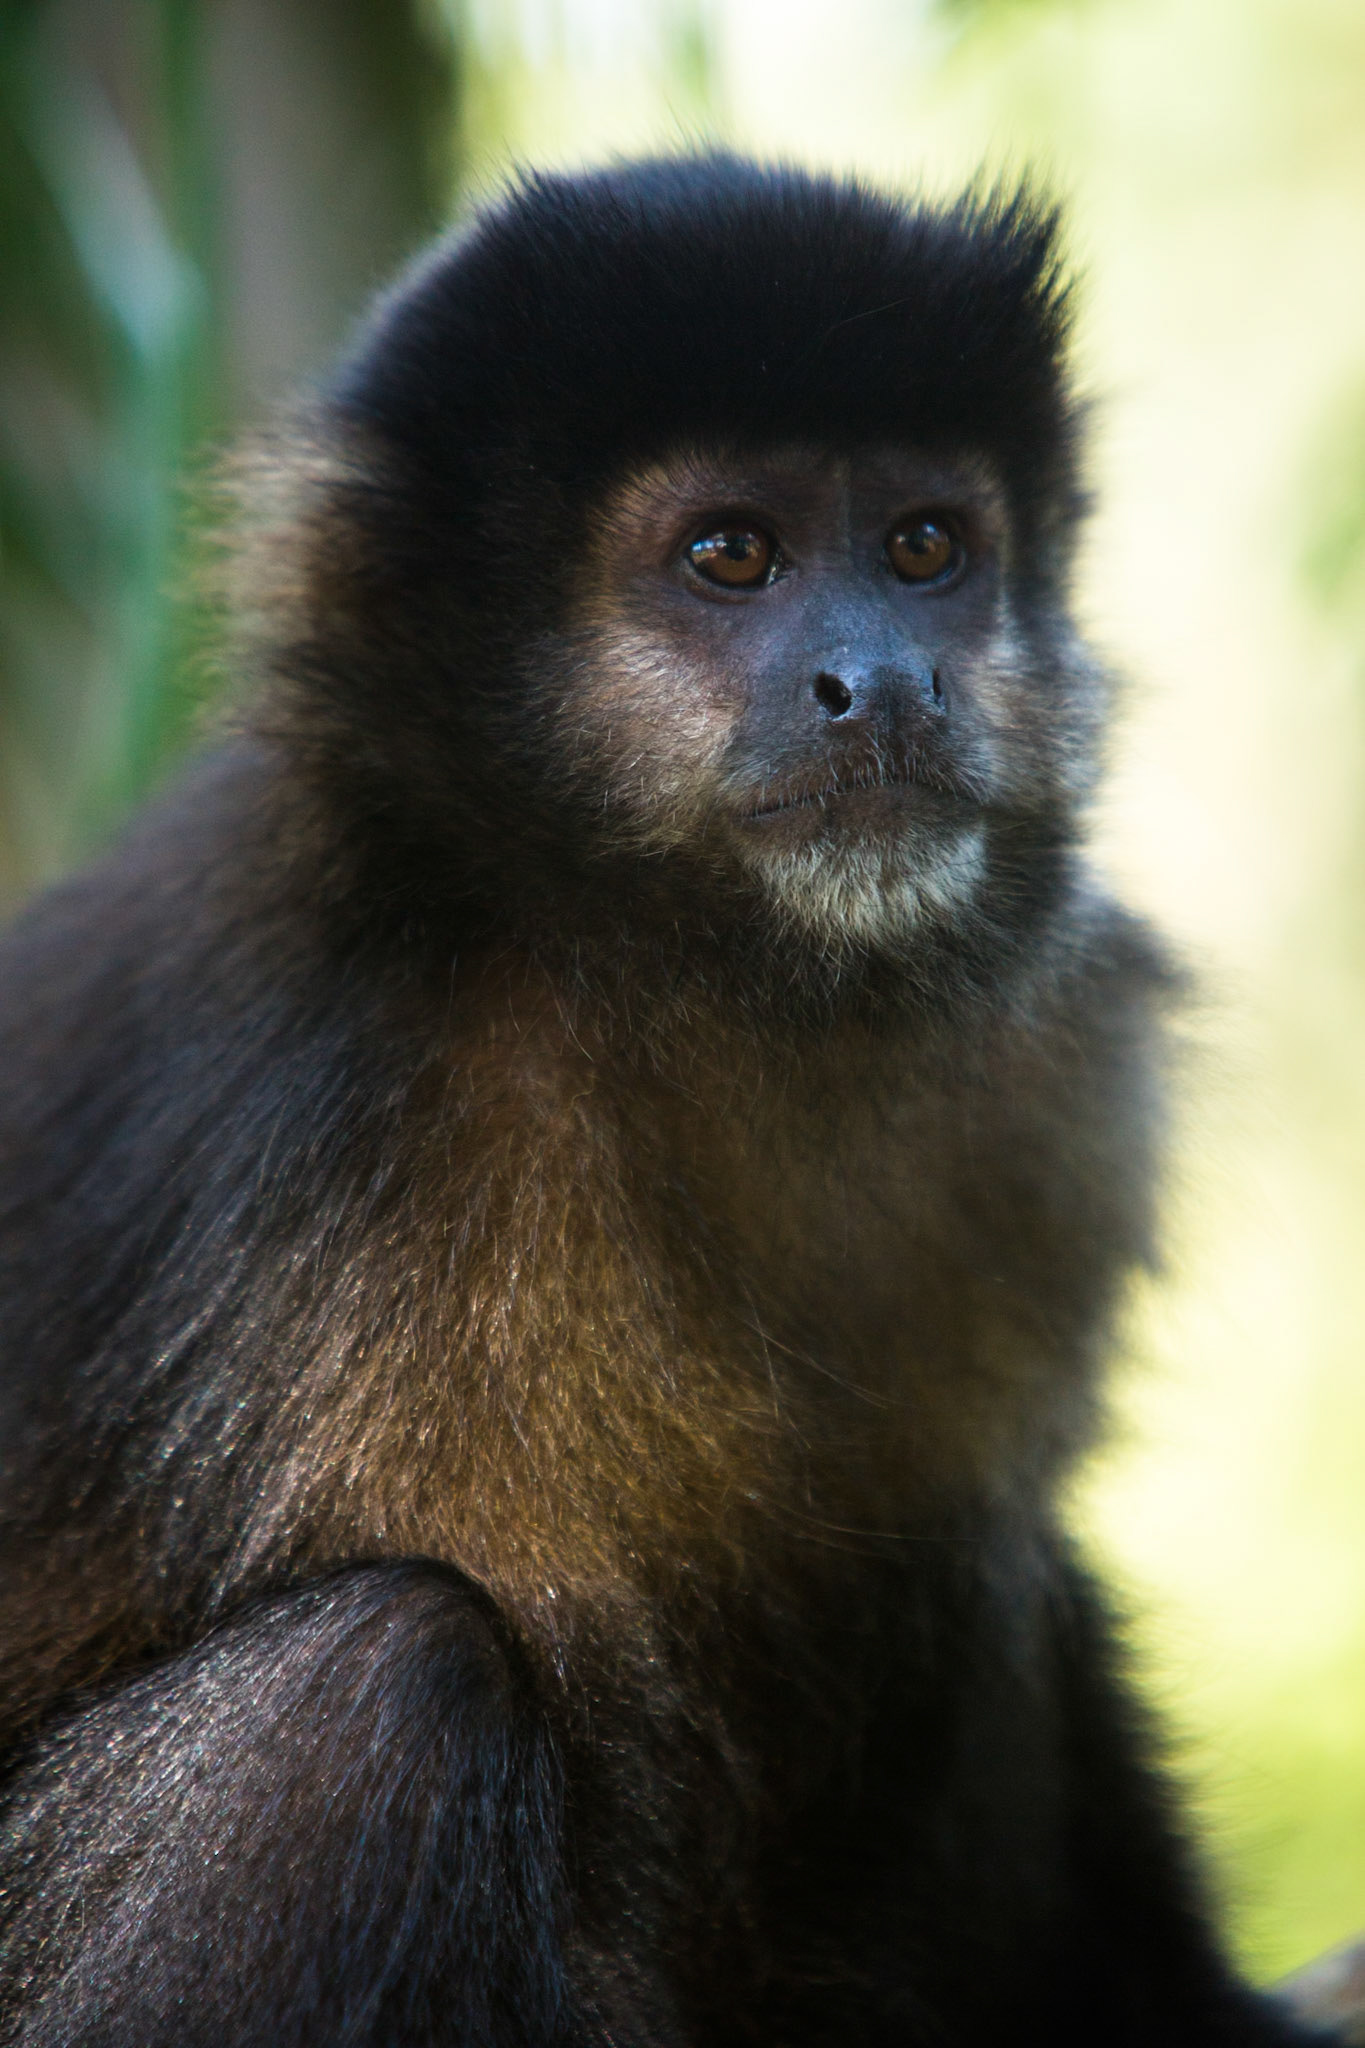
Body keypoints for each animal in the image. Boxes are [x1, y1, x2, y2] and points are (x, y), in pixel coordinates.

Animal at [0, 154, 1336, 2046]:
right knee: (369, 1693)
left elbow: (981, 1556)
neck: (652, 976)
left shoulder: (1053, 1084)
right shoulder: (384, 1174)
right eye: (731, 556)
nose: (883, 680)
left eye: (924, 548)